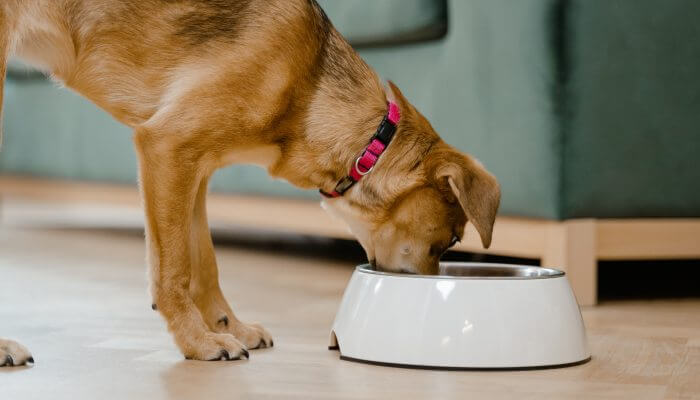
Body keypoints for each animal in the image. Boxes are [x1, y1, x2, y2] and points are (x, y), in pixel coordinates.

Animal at [2, 0, 500, 364]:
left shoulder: (193, 169)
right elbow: (174, 269)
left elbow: (203, 263)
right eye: (451, 240)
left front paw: (228, 327)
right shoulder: (166, 146)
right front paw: (197, 343)